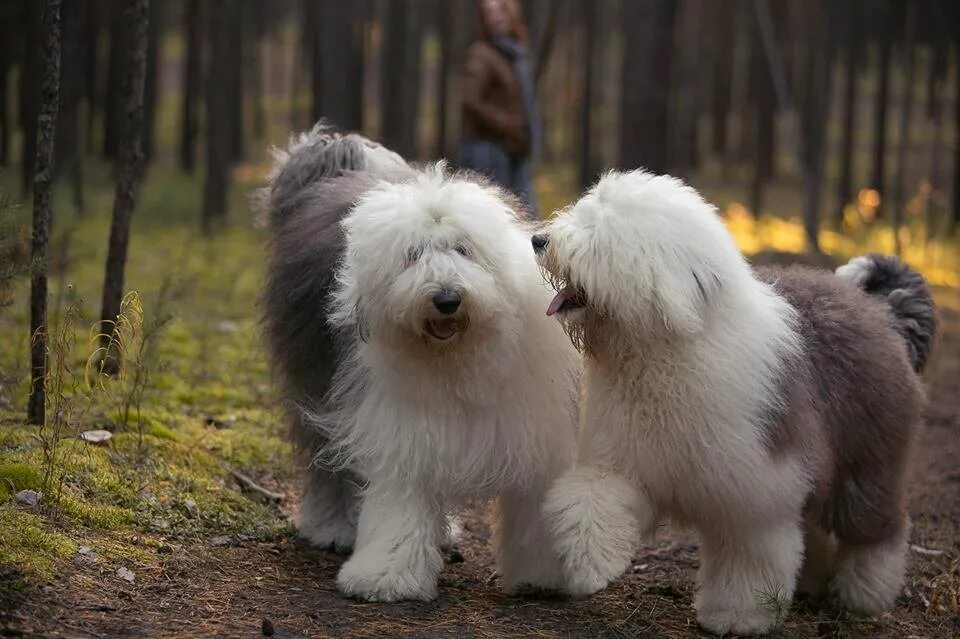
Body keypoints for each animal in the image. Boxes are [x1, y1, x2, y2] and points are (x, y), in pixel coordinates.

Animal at [260, 126, 576, 604]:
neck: (457, 356)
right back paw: (333, 528)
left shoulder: (531, 426)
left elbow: (535, 501)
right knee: (326, 463)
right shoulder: (398, 424)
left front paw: (543, 575)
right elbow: (400, 498)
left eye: (463, 249)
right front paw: (385, 576)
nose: (446, 299)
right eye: (412, 254)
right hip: (317, 377)